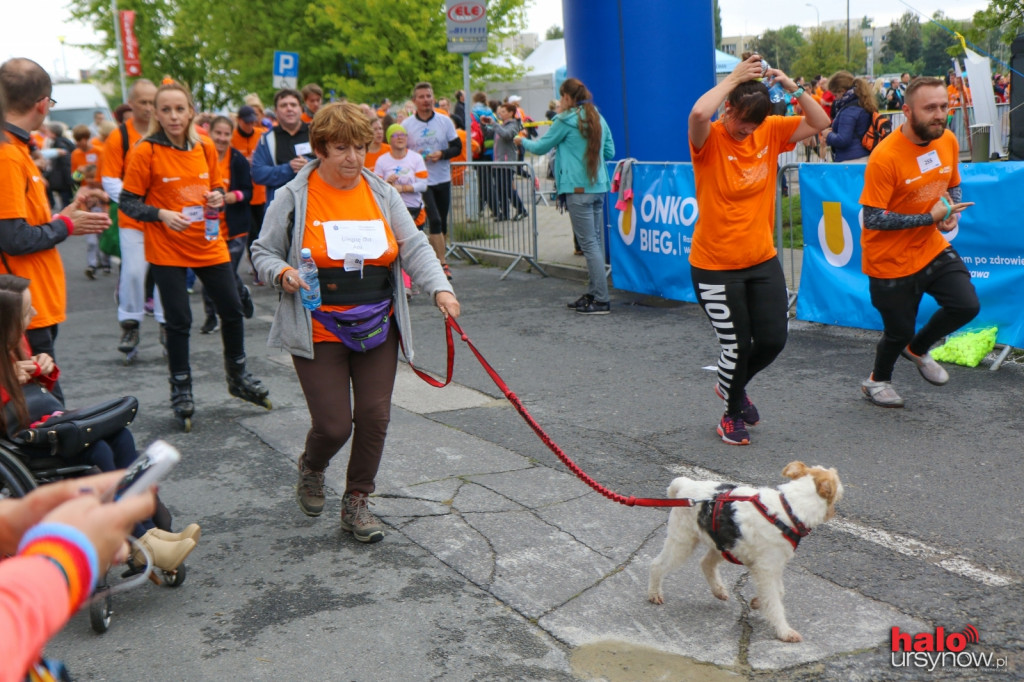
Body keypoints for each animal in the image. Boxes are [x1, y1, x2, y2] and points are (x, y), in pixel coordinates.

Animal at [647, 458, 839, 638]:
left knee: (706, 563)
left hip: (725, 544)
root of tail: (684, 485)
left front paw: (756, 602)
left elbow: (779, 592)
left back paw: (719, 590)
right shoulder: (766, 569)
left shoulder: (774, 565)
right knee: (657, 565)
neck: (790, 508)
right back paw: (655, 594)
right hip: (682, 541)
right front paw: (784, 632)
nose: (833, 512)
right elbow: (774, 601)